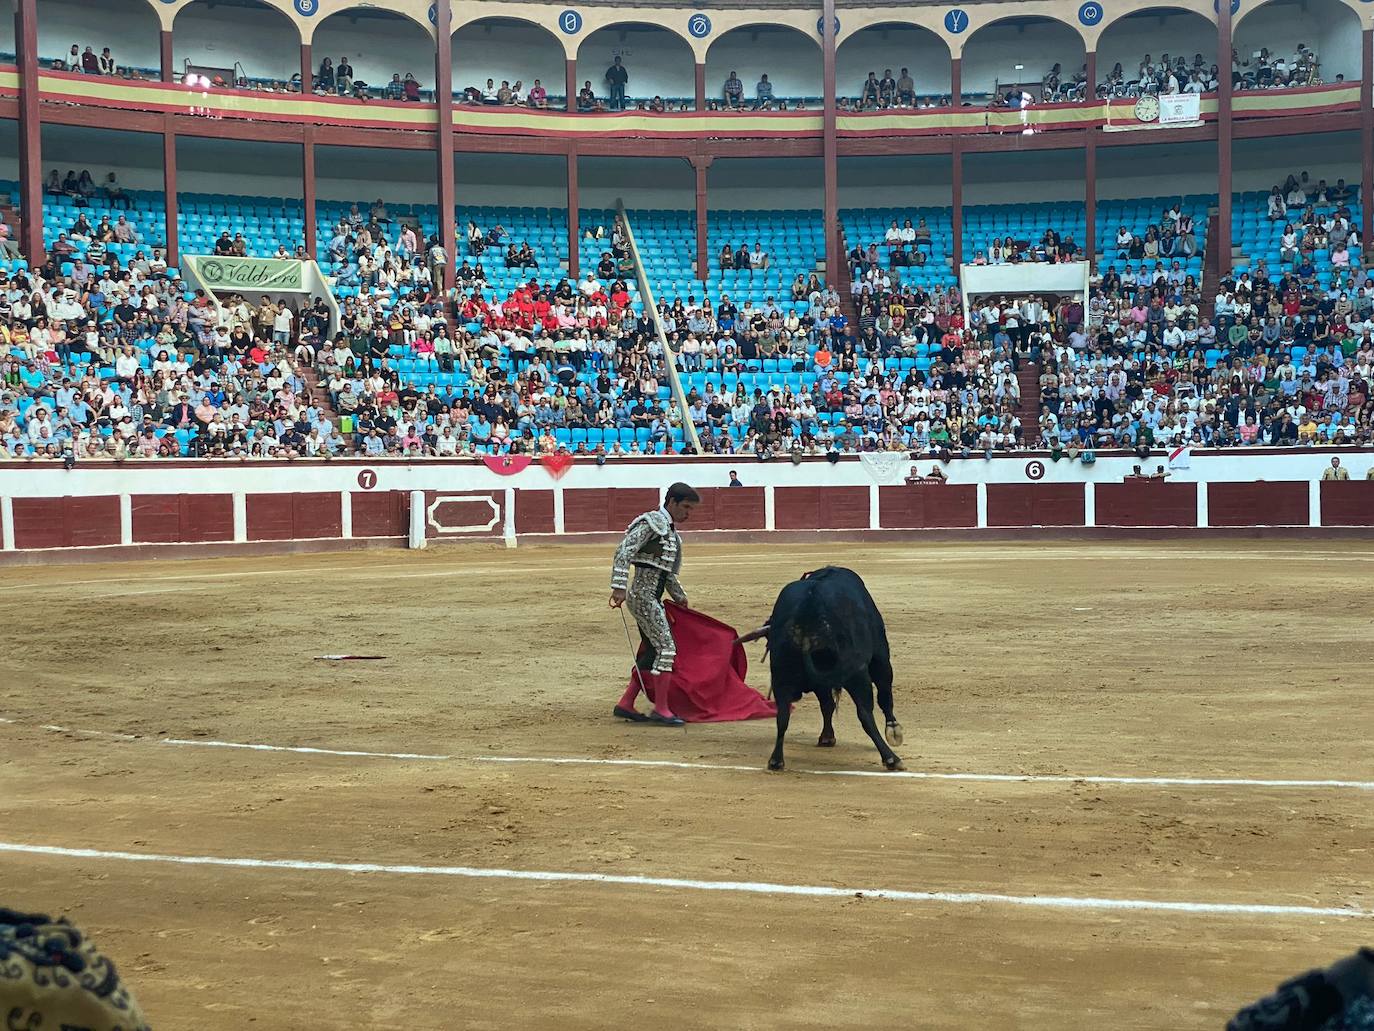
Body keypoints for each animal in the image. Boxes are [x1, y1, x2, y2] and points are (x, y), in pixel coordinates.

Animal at [752, 569, 901, 769]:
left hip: (780, 674)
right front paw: (893, 730)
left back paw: (776, 760)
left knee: (782, 715)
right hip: (858, 672)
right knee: (865, 712)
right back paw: (891, 758)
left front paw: (827, 737)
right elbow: (884, 695)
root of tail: (809, 610)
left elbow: (826, 705)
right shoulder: (880, 656)